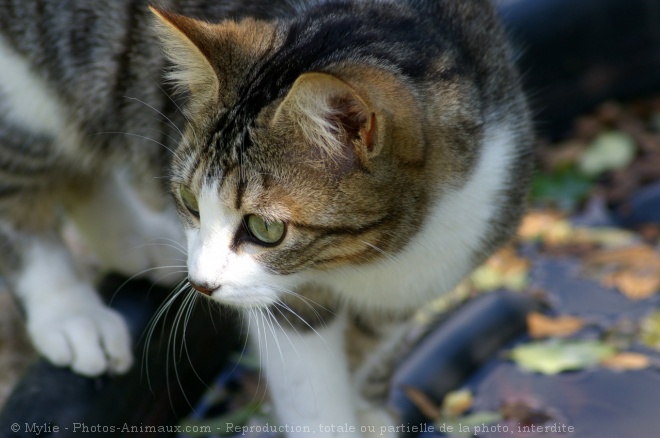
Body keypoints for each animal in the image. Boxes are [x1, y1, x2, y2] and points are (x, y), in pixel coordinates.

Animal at [0, 0, 532, 434]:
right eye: (190, 201)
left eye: (265, 228)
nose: (201, 285)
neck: (377, 256)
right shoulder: (290, 305)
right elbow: (311, 394)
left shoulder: (425, 277)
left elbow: (370, 346)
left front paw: (366, 407)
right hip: (24, 90)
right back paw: (71, 311)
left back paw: (138, 247)